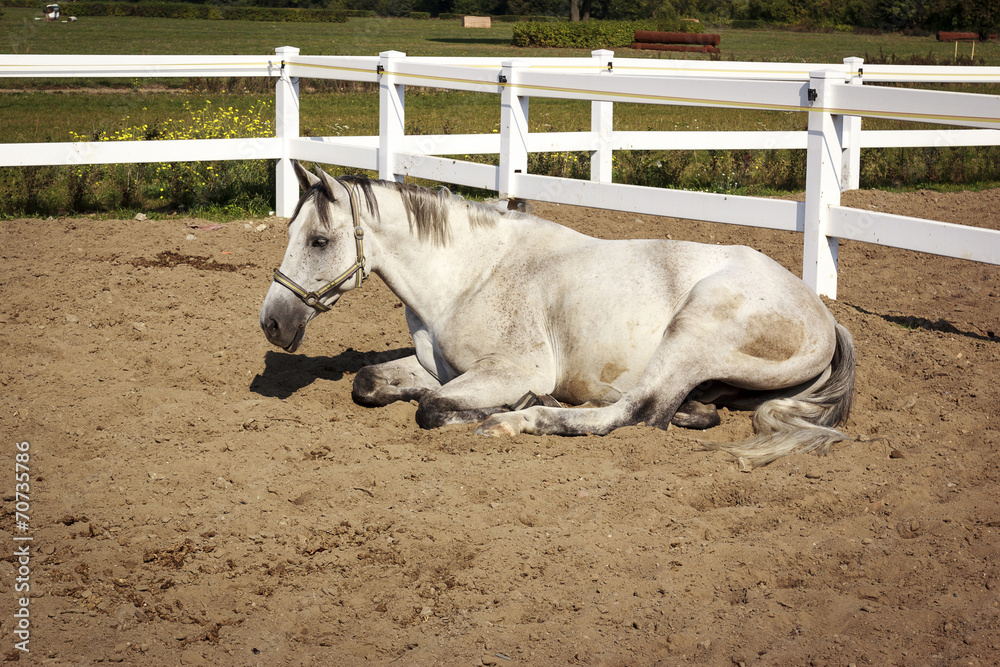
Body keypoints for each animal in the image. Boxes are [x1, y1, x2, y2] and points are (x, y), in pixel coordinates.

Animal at [260, 162, 855, 469]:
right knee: (673, 409)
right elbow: (369, 381)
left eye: (318, 240)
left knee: (636, 413)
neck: (469, 275)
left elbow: (431, 408)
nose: (272, 323)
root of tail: (825, 319)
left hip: (694, 328)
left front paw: (508, 408)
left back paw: (522, 418)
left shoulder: (510, 369)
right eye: (291, 232)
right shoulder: (437, 367)